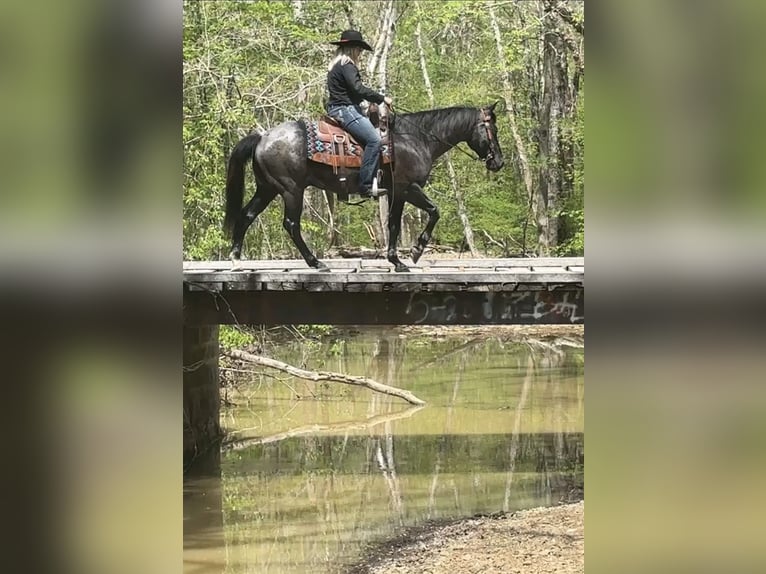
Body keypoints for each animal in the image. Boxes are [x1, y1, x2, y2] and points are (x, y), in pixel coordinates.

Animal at [223, 103, 505, 272]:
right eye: (492, 128)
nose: (499, 162)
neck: (417, 139)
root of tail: (263, 137)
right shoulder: (407, 187)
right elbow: (434, 211)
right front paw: (415, 252)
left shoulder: (396, 193)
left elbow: (393, 224)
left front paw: (396, 261)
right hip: (292, 190)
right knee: (291, 224)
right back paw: (315, 262)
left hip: (267, 189)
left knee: (246, 215)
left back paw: (236, 258)